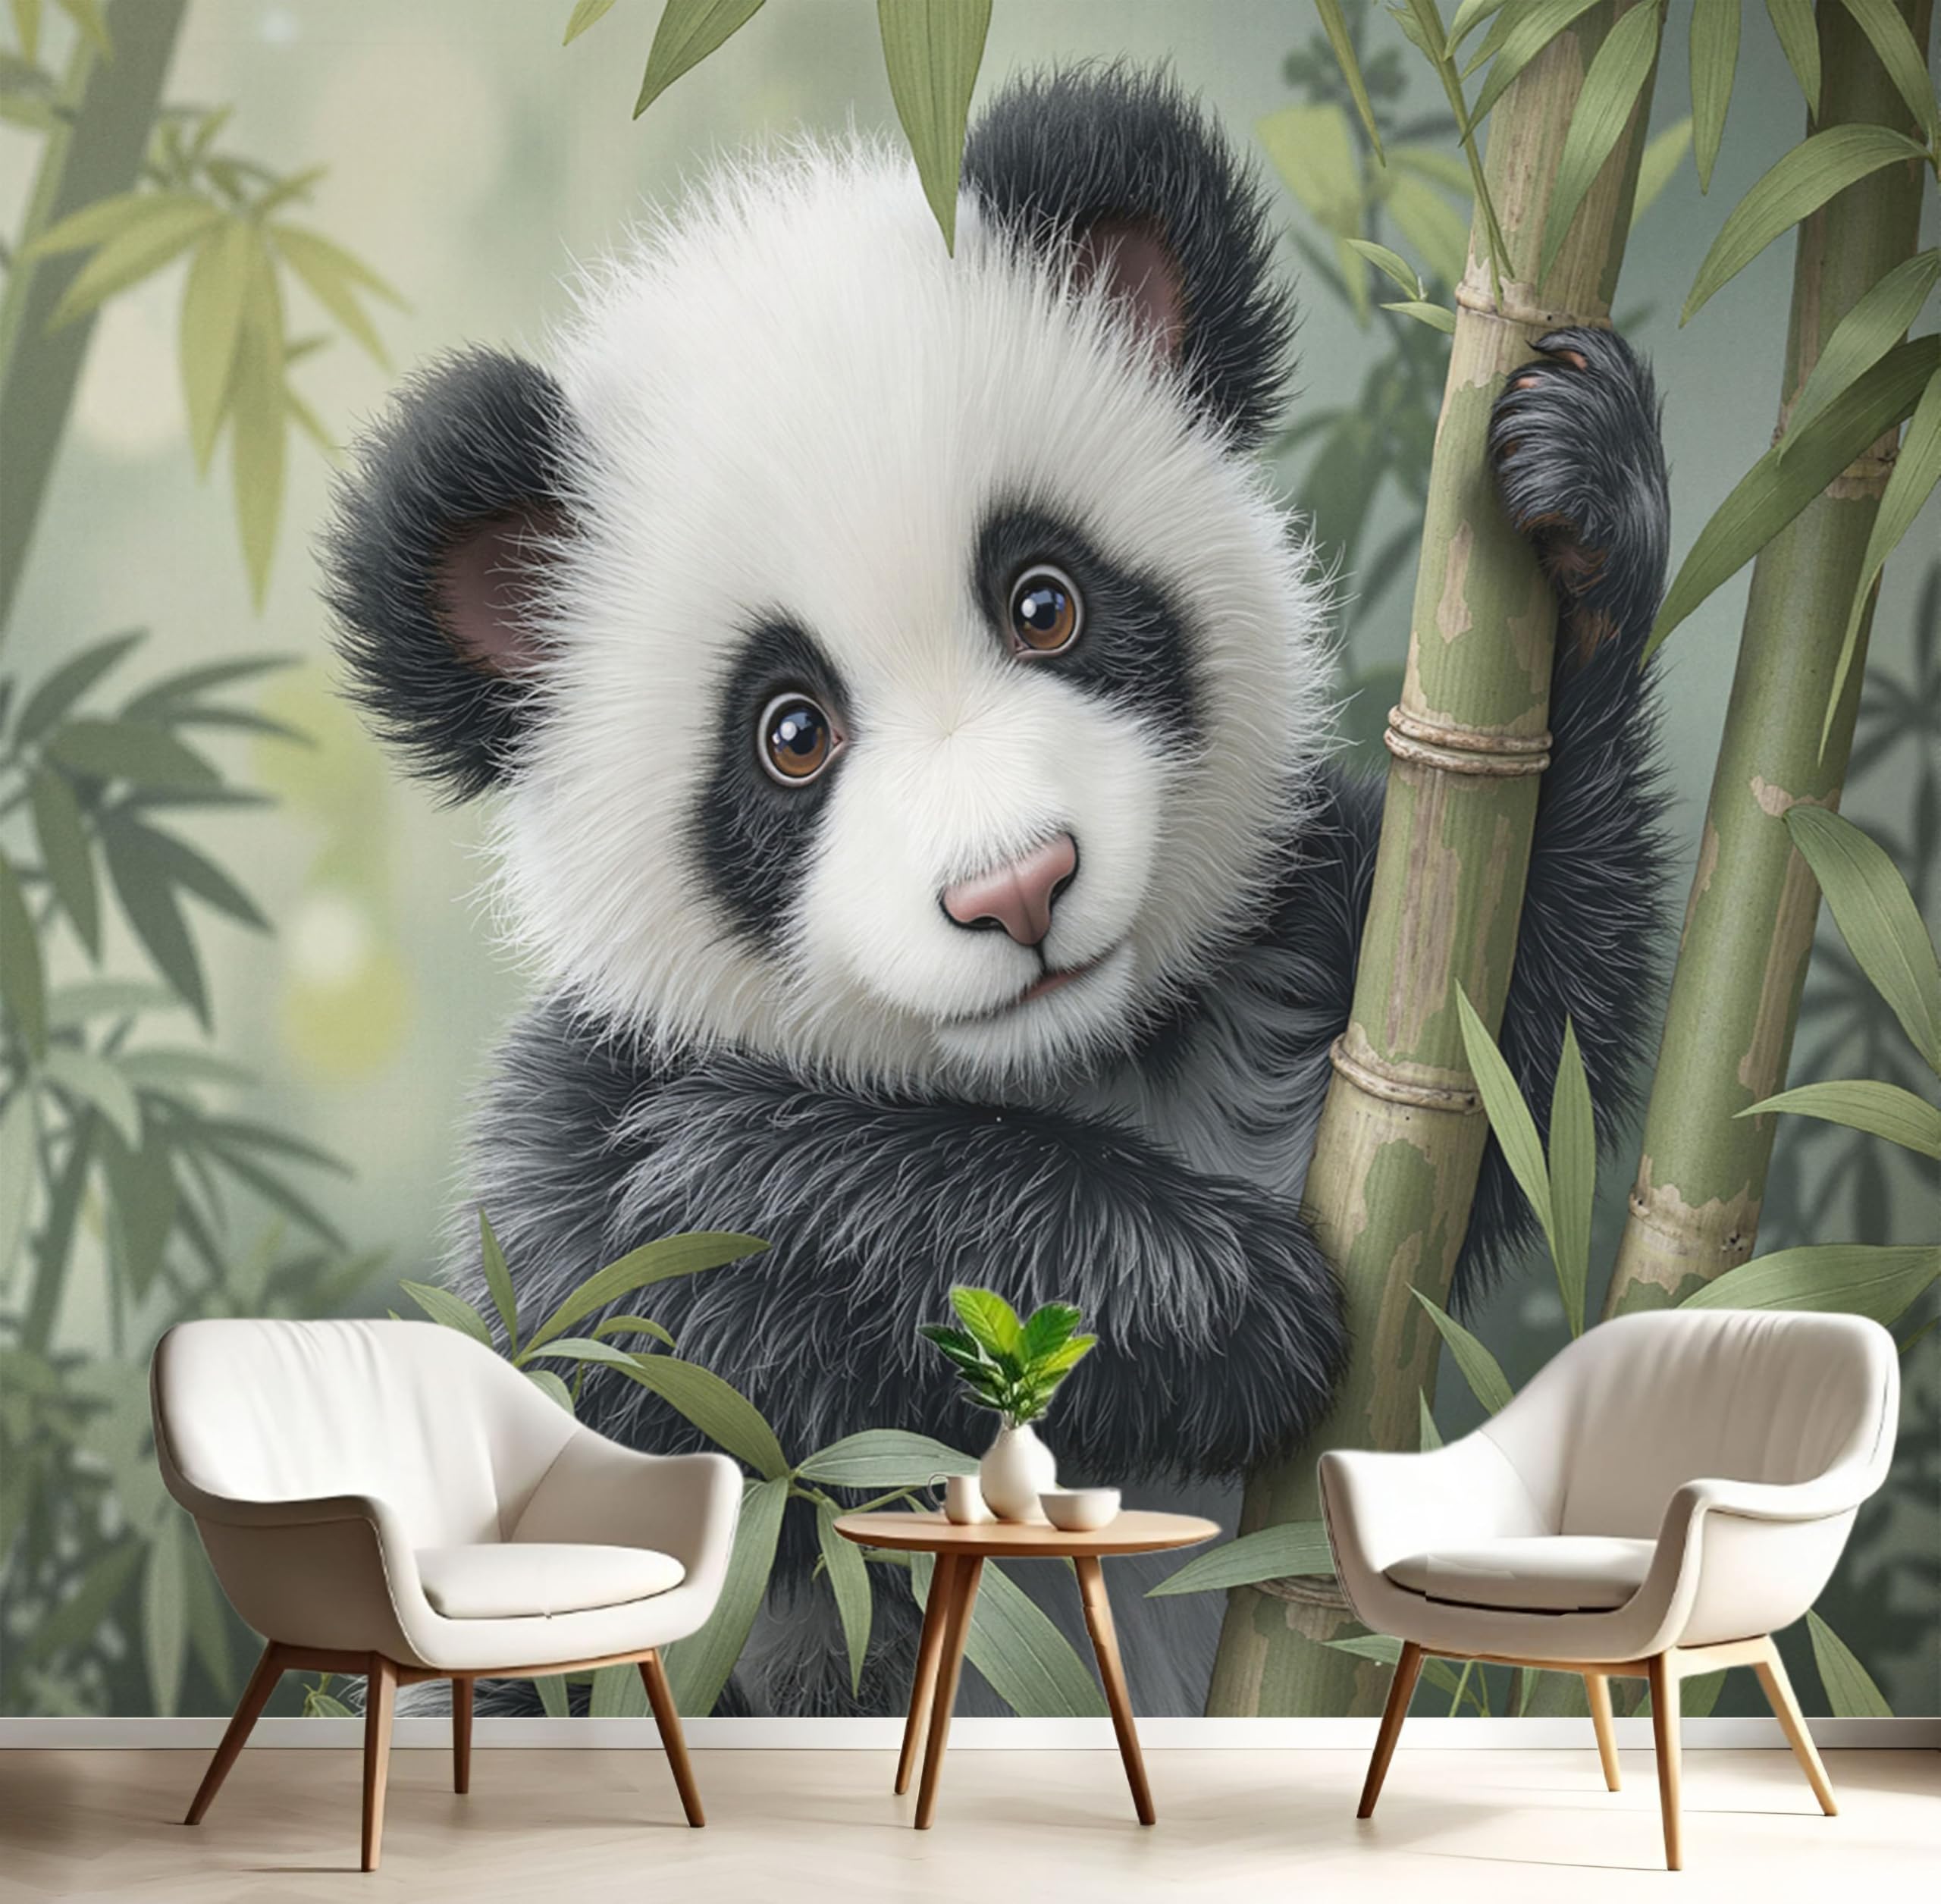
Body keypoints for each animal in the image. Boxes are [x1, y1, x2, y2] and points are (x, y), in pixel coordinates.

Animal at [324, 67, 1668, 1717]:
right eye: (790, 733)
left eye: (1045, 601)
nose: (1016, 891)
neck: (1067, 1067)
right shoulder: (583, 1165)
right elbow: (705, 1257)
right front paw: (1210, 1300)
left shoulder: (1301, 971)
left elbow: (1508, 1065)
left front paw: (1577, 490)